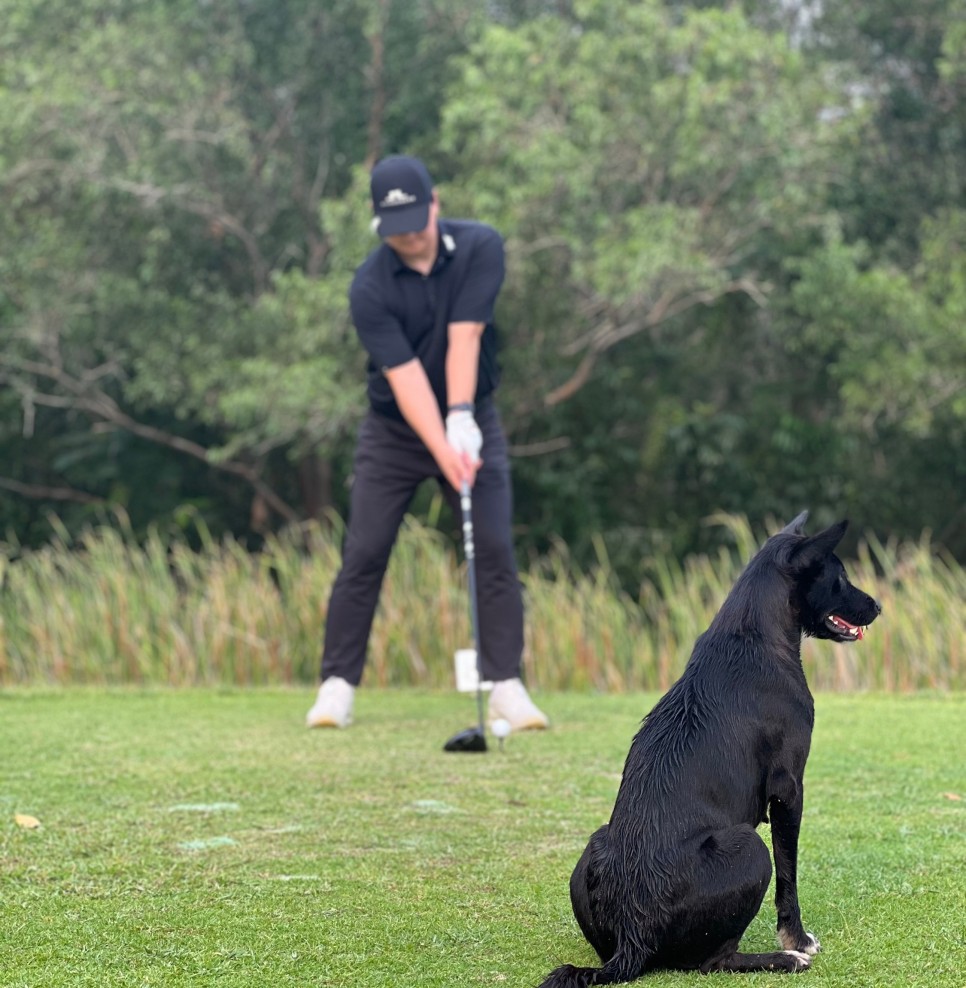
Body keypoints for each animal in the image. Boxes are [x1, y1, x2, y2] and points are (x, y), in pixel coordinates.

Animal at [540, 512, 880, 984]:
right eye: (841, 578)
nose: (878, 606)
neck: (753, 632)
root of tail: (633, 936)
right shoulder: (789, 788)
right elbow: (790, 876)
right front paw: (796, 939)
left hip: (595, 843)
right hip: (749, 847)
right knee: (715, 961)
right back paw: (784, 959)